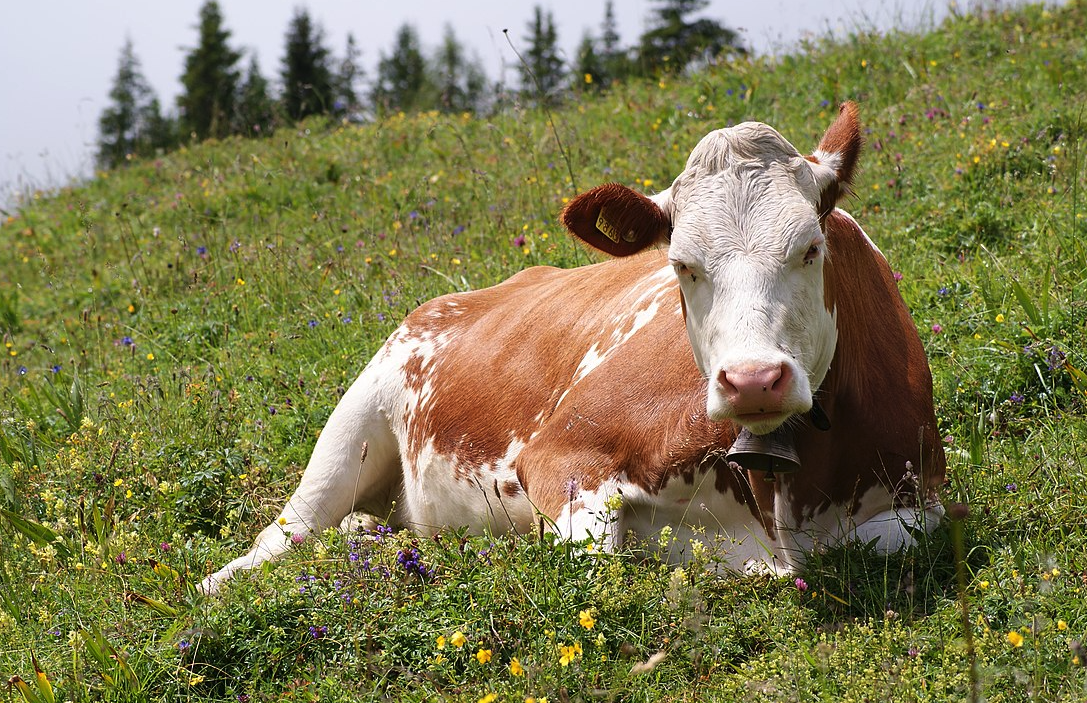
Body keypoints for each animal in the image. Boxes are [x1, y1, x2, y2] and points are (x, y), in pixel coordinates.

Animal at [200, 103, 947, 595]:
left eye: (810, 247)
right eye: (681, 265)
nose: (753, 380)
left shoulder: (924, 498)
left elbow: (889, 540)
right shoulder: (560, 454)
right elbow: (596, 556)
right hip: (355, 418)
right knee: (286, 534)